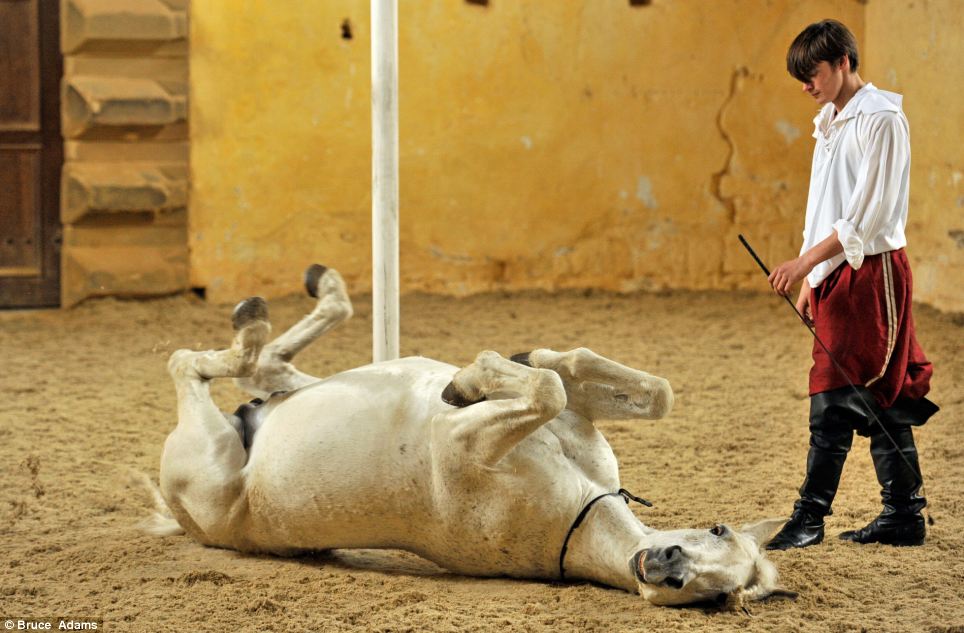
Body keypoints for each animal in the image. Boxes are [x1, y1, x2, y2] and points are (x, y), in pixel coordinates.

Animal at [151, 262, 796, 608]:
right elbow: (622, 386)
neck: (578, 513)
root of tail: (183, 517)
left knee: (196, 364)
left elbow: (545, 389)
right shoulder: (554, 423)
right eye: (717, 528)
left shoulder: (468, 443)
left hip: (207, 453)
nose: (667, 563)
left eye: (721, 594)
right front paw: (507, 363)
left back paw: (257, 321)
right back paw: (302, 297)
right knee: (257, 367)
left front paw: (474, 376)